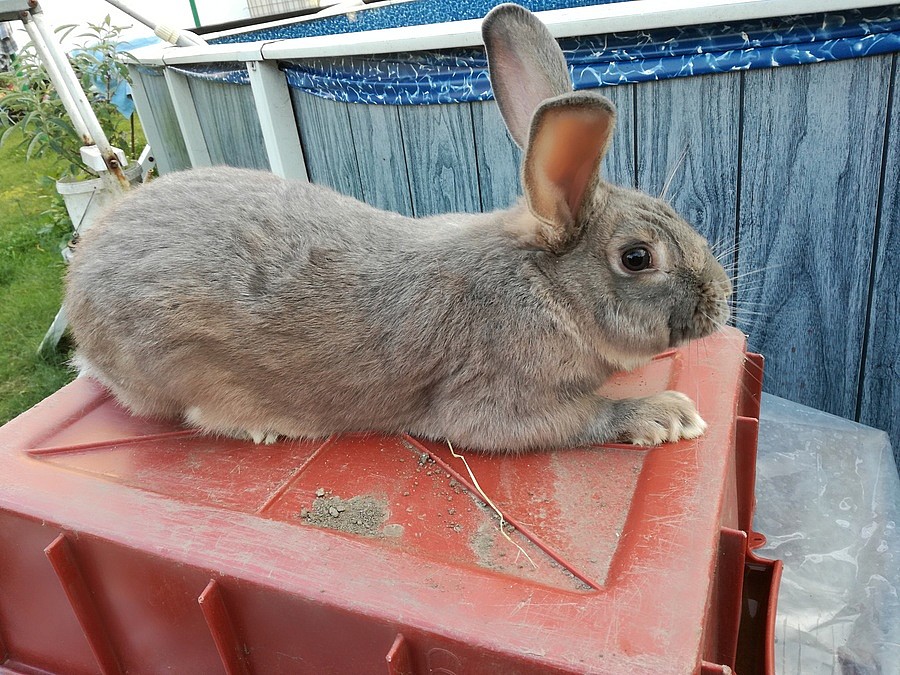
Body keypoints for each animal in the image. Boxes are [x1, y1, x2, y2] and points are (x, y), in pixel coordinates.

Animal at [64, 3, 732, 452]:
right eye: (638, 258)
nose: (722, 301)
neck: (548, 289)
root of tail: (80, 297)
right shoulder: (492, 401)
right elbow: (578, 417)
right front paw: (665, 414)